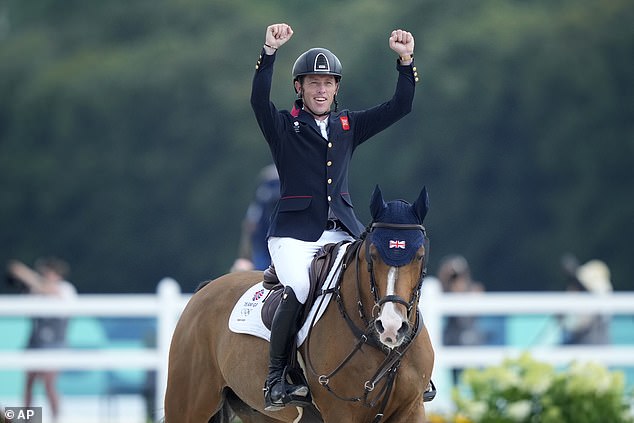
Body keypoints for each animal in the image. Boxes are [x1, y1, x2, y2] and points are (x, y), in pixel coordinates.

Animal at [163, 188, 432, 423]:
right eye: (373, 256)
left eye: (420, 255)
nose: (391, 327)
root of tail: (204, 290)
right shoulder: (341, 413)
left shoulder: (412, 409)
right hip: (187, 405)